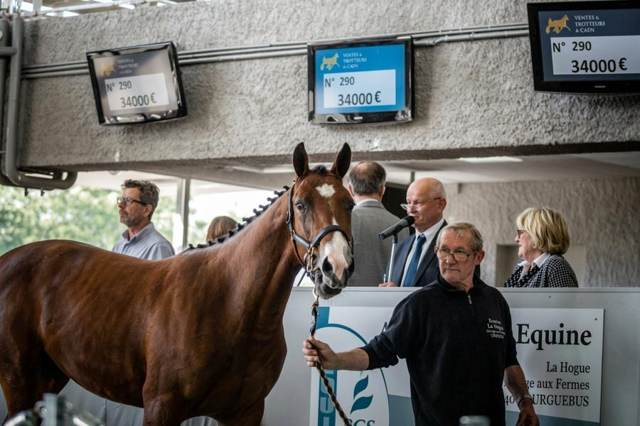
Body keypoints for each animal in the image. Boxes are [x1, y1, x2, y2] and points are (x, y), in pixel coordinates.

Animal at [0, 143, 354, 426]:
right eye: (301, 204)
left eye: (349, 203)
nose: (335, 267)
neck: (231, 305)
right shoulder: (161, 407)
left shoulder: (246, 412)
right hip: (19, 379)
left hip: (48, 379)